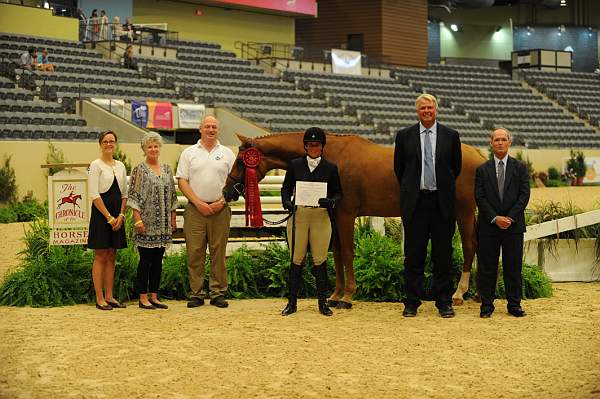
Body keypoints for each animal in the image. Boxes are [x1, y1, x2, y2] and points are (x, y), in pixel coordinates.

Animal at [224, 133, 488, 308]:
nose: (227, 192)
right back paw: (477, 294)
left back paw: (459, 294)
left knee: (470, 246)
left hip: (463, 211)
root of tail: (478, 155)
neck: (331, 157)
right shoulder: (333, 214)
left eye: (240, 161)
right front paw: (335, 295)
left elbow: (349, 252)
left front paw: (349, 294)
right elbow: (338, 253)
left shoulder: (346, 215)